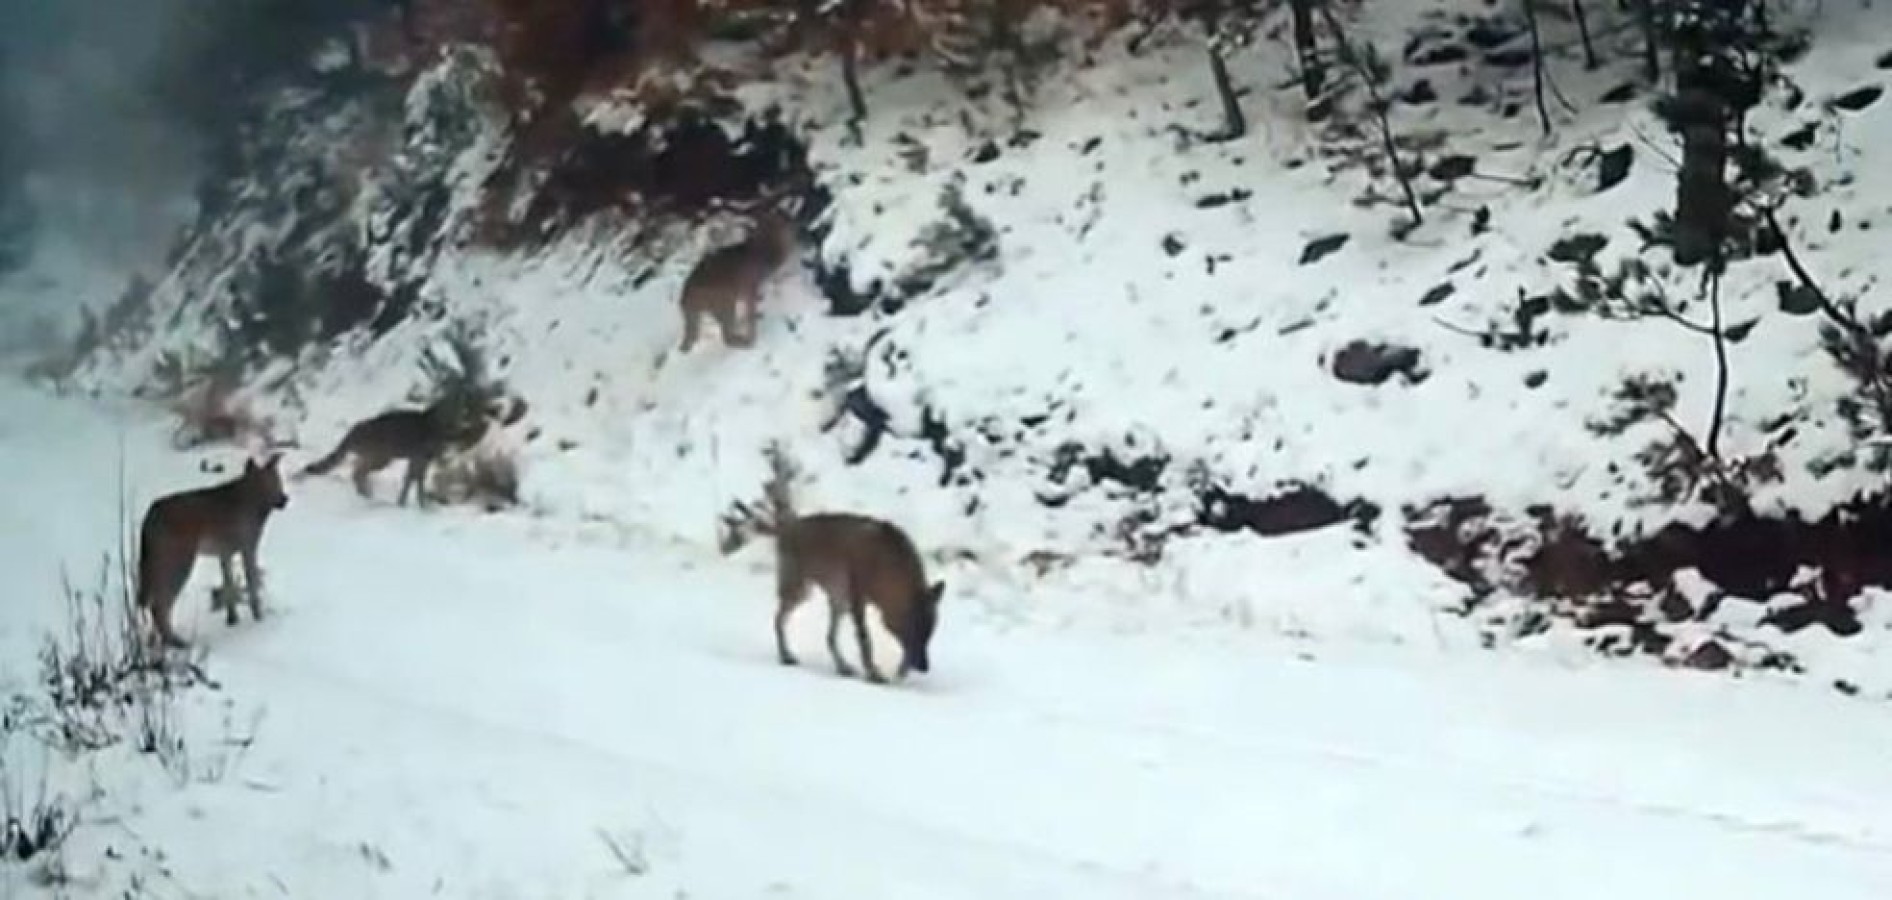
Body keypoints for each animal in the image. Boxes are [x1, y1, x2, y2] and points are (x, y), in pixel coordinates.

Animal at [137, 457, 289, 646]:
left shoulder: (225, 554)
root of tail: (149, 517)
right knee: (159, 606)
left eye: (278, 480)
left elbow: (229, 587)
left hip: (156, 565)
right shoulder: (248, 547)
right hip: (180, 562)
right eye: (267, 483)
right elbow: (252, 585)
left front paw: (232, 620)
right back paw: (177, 642)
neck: (252, 504)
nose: (285, 499)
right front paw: (258, 618)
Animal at [297, 400, 484, 506]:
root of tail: (355, 428)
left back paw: (365, 492)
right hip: (382, 457)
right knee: (357, 472)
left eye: (459, 408)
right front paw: (416, 504)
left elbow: (413, 480)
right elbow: (414, 481)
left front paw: (409, 502)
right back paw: (366, 493)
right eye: (447, 409)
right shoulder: (420, 457)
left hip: (377, 457)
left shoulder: (420, 459)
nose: (458, 415)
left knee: (357, 470)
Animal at [677, 191, 802, 353]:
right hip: (724, 300)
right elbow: (750, 311)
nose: (794, 222)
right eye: (782, 216)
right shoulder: (749, 286)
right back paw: (748, 341)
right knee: (726, 336)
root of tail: (684, 300)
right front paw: (753, 324)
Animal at [718, 446, 942, 684]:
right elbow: (865, 641)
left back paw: (842, 667)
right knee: (779, 620)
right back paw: (787, 656)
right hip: (801, 590)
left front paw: (896, 673)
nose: (924, 667)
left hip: (834, 599)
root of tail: (786, 526)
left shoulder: (859, 603)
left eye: (930, 633)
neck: (885, 567)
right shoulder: (857, 598)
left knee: (829, 637)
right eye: (915, 631)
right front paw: (874, 674)